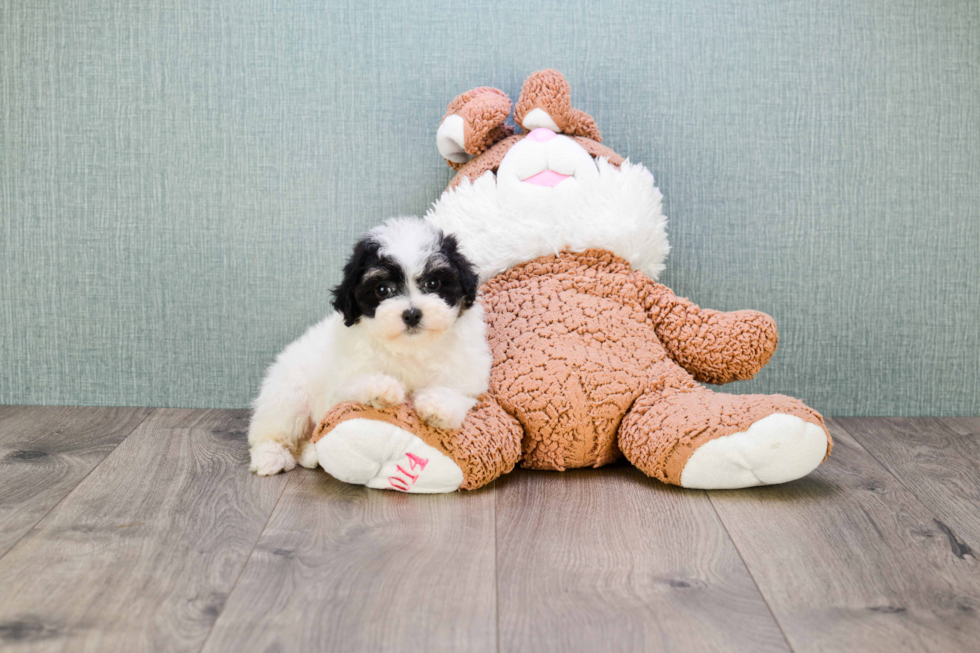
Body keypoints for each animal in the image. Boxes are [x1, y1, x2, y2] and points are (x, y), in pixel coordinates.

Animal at [247, 216, 488, 476]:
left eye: (433, 282)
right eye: (382, 290)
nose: (412, 314)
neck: (410, 348)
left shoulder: (467, 372)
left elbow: (457, 391)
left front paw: (438, 405)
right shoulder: (341, 381)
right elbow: (357, 382)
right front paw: (382, 388)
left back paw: (310, 453)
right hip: (288, 393)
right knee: (271, 430)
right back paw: (271, 457)